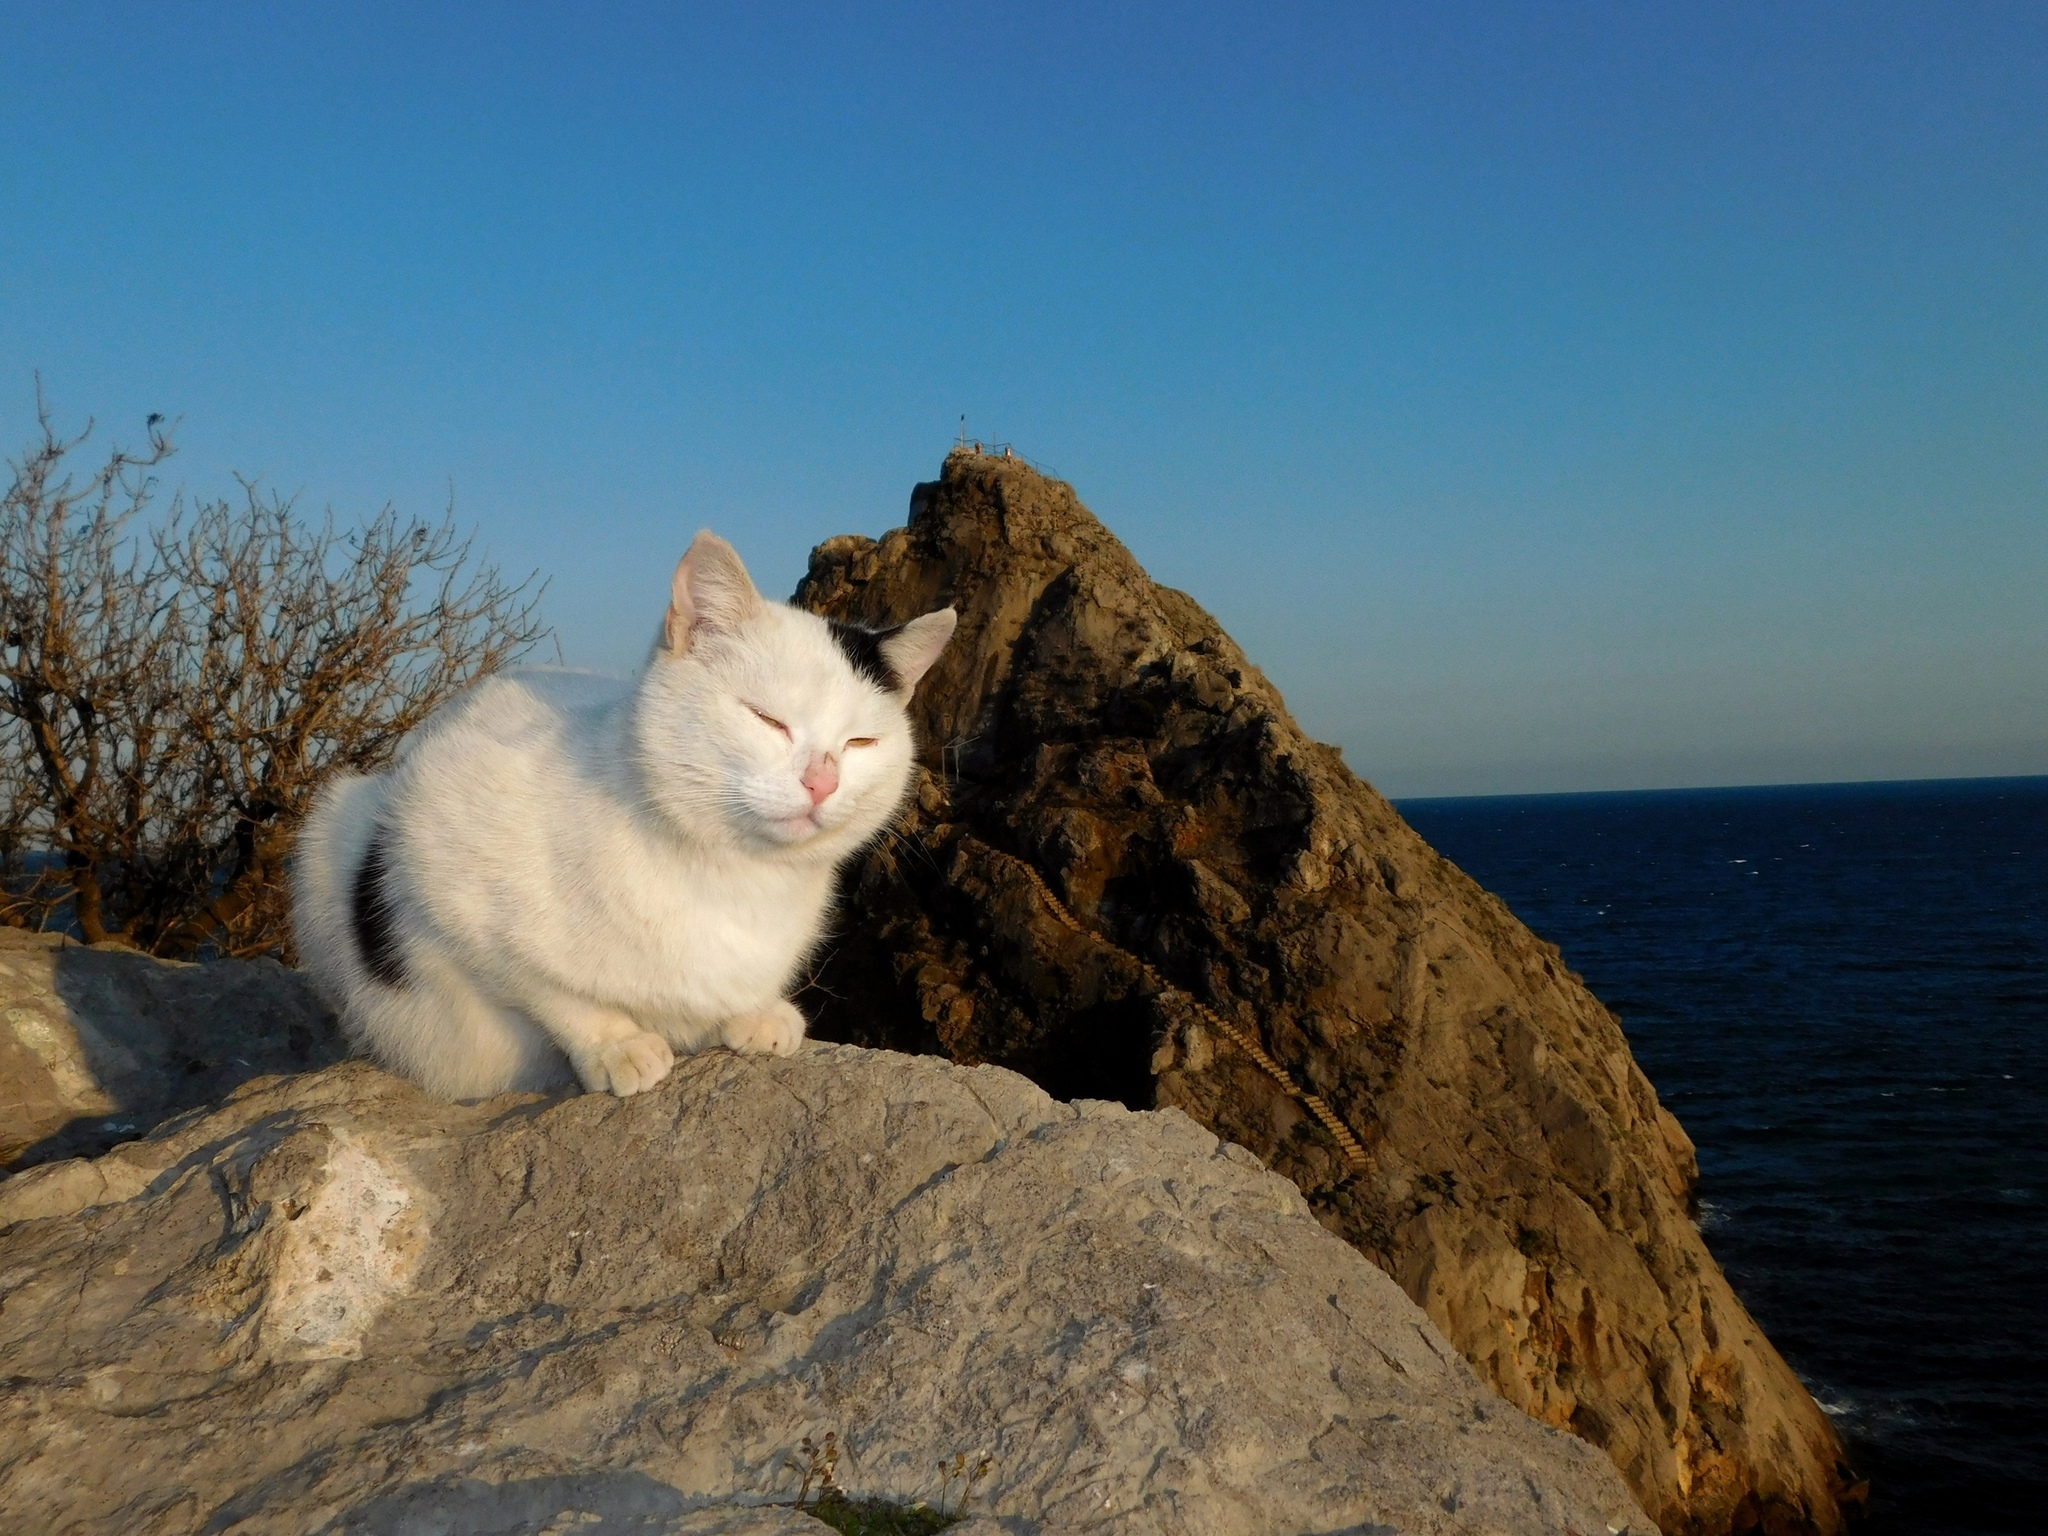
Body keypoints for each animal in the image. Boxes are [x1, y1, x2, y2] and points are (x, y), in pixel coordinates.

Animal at [292, 536, 954, 1097]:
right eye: (766, 719)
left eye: (861, 743)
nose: (823, 782)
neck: (732, 878)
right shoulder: (442, 880)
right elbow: (550, 989)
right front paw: (618, 1045)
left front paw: (755, 1011)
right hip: (329, 829)